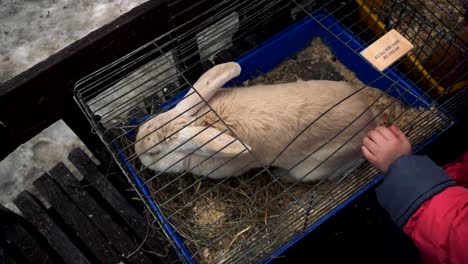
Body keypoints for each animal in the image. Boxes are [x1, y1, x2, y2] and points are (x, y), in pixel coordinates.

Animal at [133, 61, 378, 182]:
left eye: (154, 153)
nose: (137, 151)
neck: (201, 124)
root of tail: (370, 125)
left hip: (313, 168)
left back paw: (281, 176)